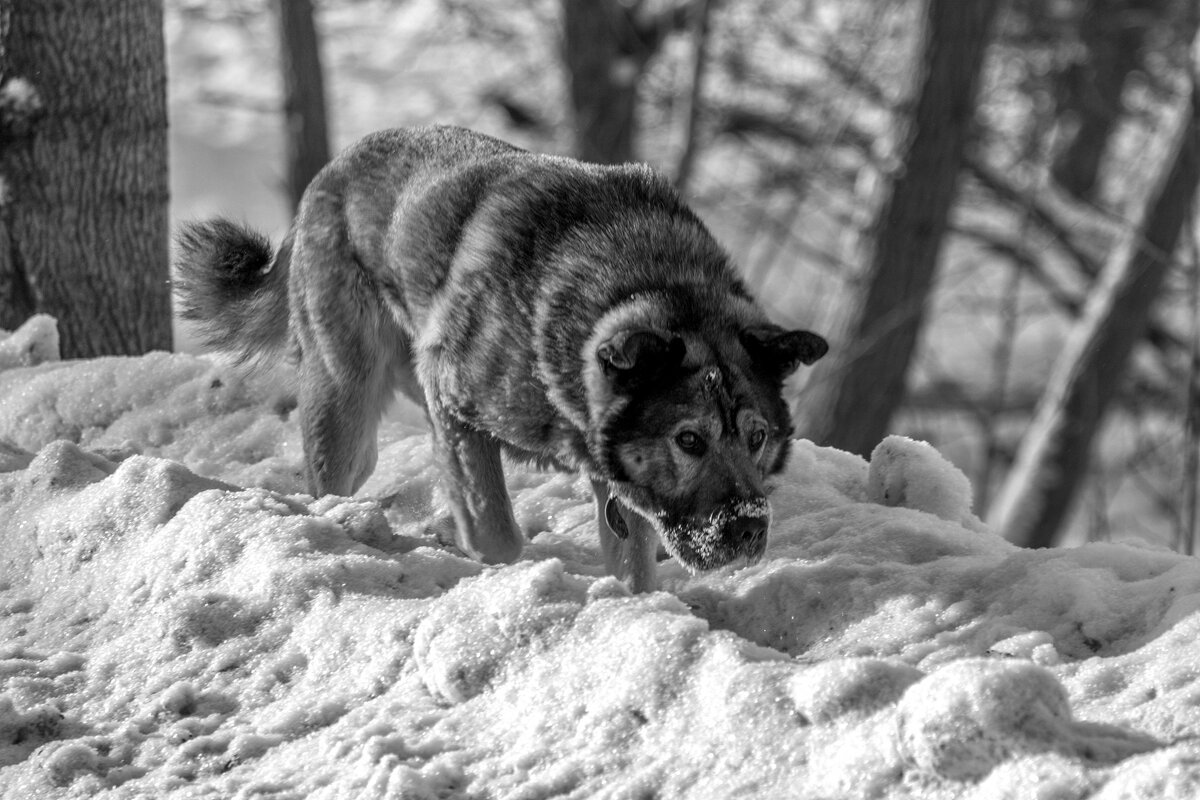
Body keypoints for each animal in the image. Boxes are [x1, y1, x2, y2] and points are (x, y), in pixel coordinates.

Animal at [175, 123, 825, 587]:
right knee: (329, 475)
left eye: (757, 437)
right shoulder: (455, 402)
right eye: (689, 440)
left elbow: (632, 562)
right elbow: (495, 529)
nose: (746, 530)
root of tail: (330, 171)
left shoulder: (612, 486)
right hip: (348, 396)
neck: (642, 284)